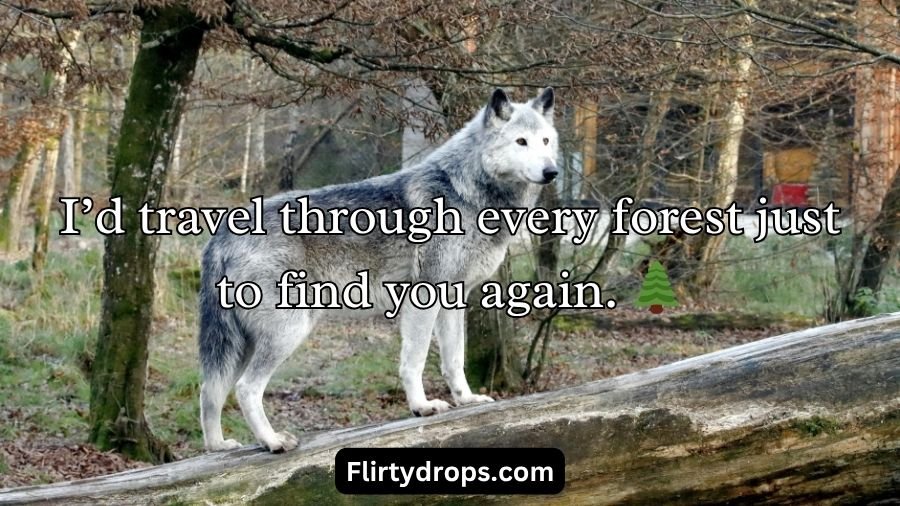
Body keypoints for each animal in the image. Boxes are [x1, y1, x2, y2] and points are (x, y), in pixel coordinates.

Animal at [199, 87, 559, 452]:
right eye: (521, 142)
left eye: (545, 140)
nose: (552, 172)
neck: (466, 192)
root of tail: (222, 234)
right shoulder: (424, 297)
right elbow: (414, 361)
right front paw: (422, 407)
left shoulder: (452, 301)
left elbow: (454, 360)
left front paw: (466, 399)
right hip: (286, 333)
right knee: (245, 388)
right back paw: (272, 441)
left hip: (241, 344)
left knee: (210, 390)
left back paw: (219, 447)